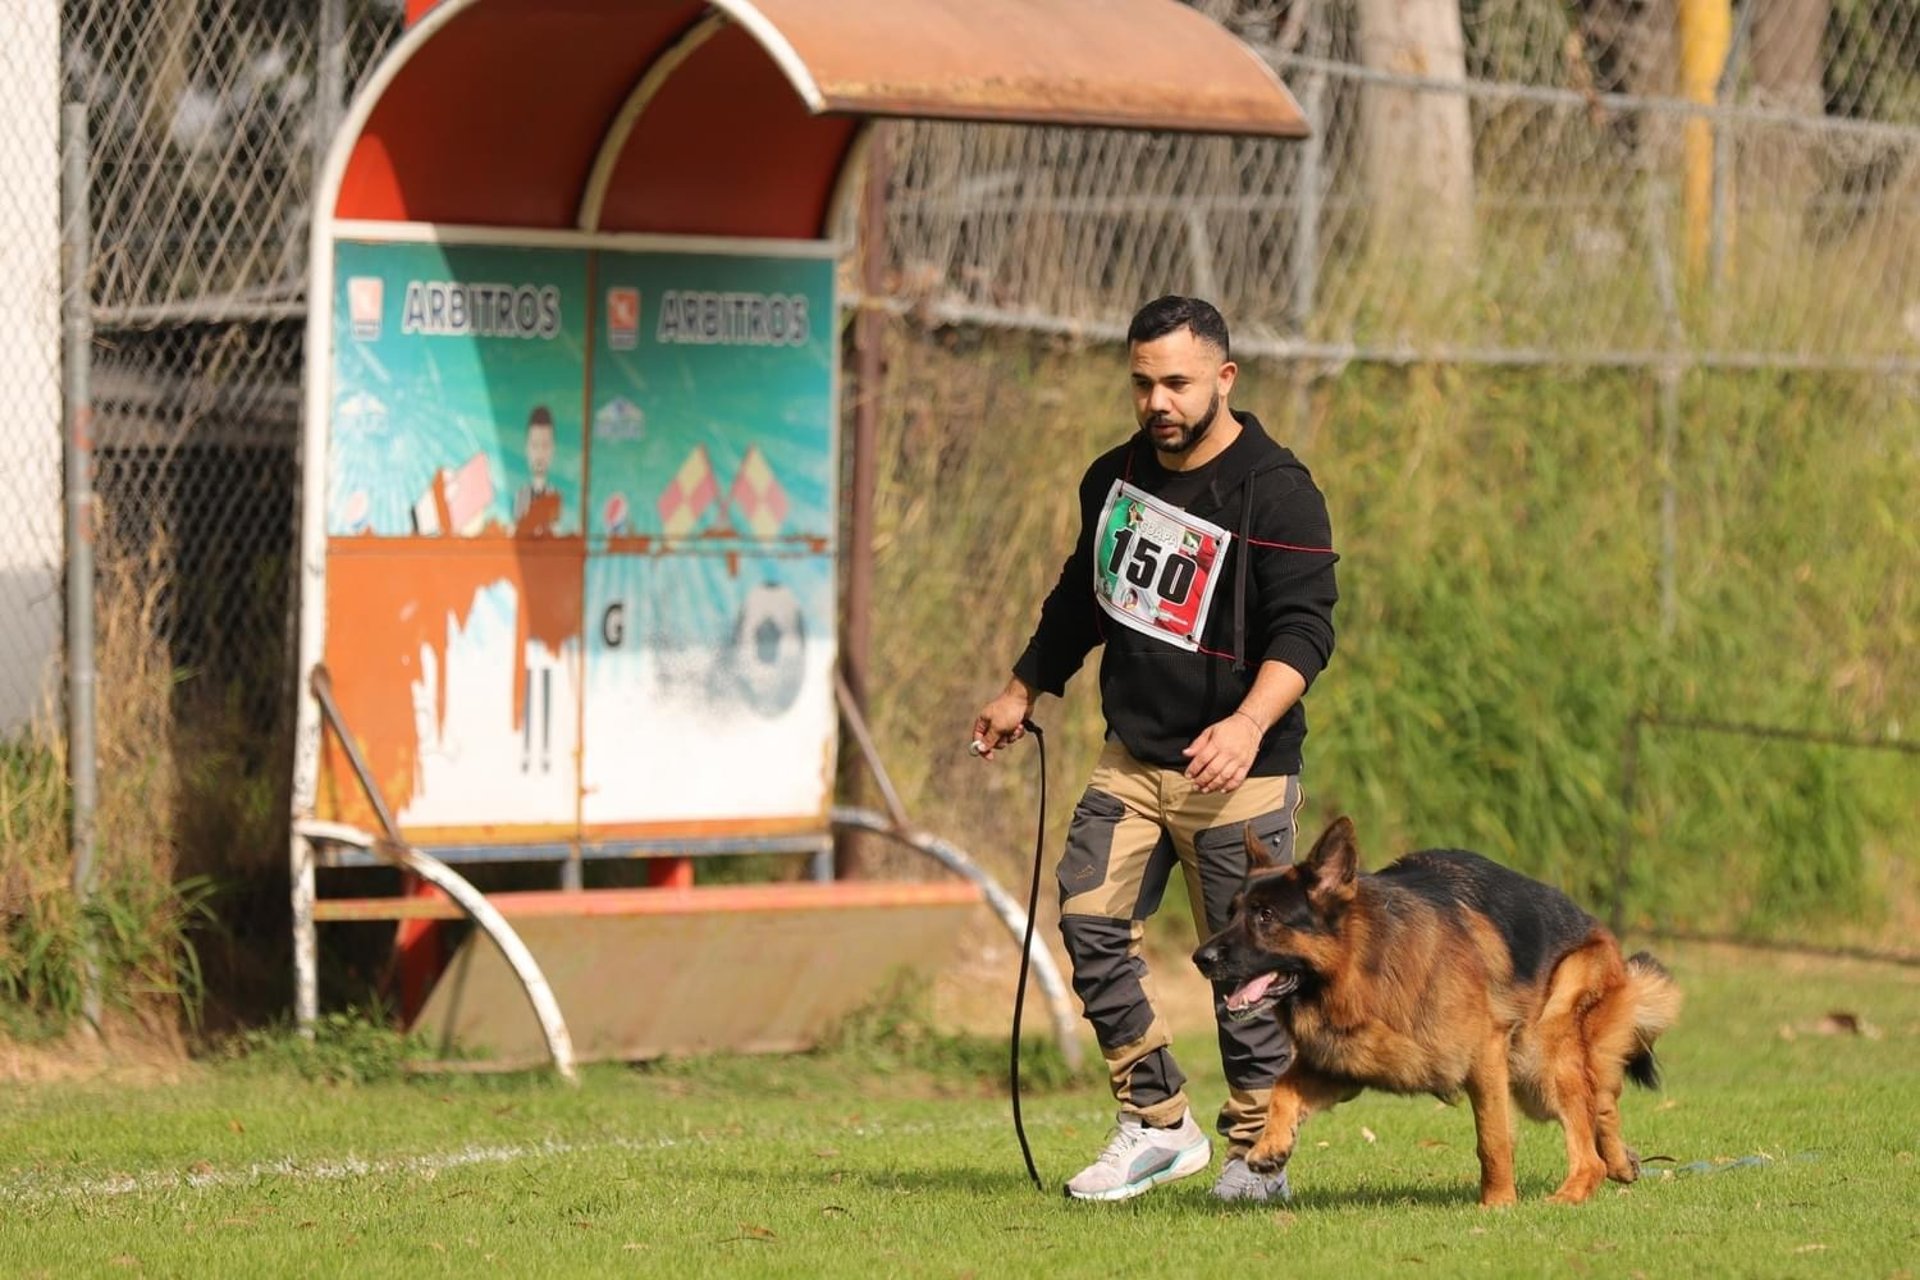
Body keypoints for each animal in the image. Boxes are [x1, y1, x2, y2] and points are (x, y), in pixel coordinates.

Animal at [1190, 817, 1674, 1205]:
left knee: (1589, 1132)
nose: (1201, 959)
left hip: (1544, 1057)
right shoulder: (1343, 1066)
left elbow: (1493, 1140)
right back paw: (1622, 1162)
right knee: (1602, 1105)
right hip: (1535, 1079)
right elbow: (1283, 1087)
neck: (1362, 968)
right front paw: (1270, 1146)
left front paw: (1498, 1205)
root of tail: (1599, 930)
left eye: (1266, 916)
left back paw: (1573, 1191)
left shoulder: (1485, 1058)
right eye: (1231, 914)